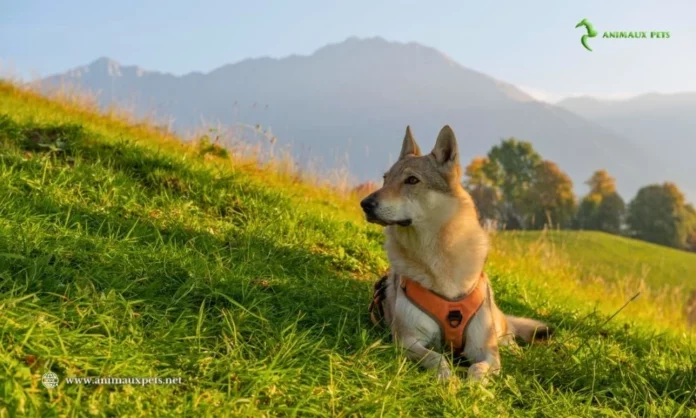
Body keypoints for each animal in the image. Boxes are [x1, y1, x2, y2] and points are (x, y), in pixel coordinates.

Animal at [362, 124, 552, 382]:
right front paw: (447, 379)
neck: (437, 257)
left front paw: (473, 386)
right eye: (385, 179)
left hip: (497, 325)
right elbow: (436, 357)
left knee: (510, 335)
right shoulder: (407, 341)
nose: (365, 203)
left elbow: (478, 368)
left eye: (412, 180)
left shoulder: (485, 350)